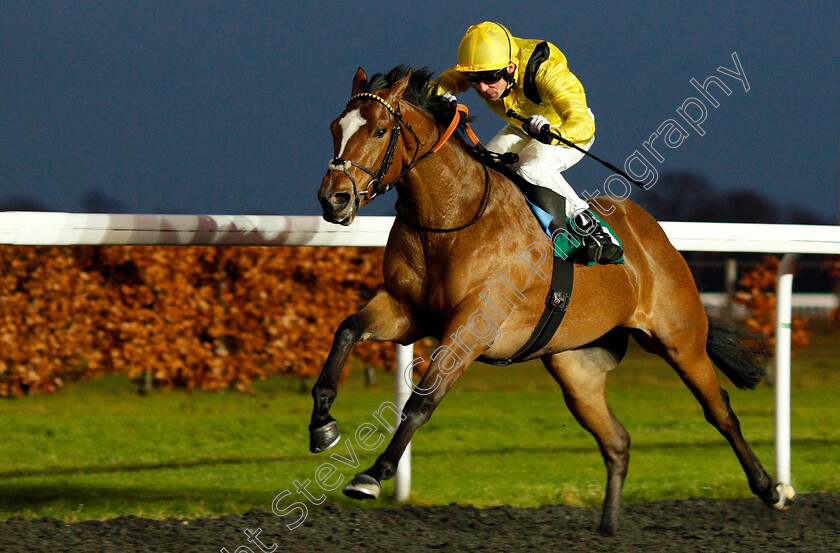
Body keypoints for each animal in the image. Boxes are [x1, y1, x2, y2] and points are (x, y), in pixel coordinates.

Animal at [310, 66, 796, 536]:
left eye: (377, 131)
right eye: (335, 127)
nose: (334, 198)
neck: (451, 217)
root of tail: (653, 234)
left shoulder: (472, 327)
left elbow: (421, 400)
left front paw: (372, 474)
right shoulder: (407, 311)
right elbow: (347, 330)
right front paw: (322, 425)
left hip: (680, 340)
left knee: (721, 412)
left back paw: (772, 489)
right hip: (577, 368)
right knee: (617, 440)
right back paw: (608, 526)